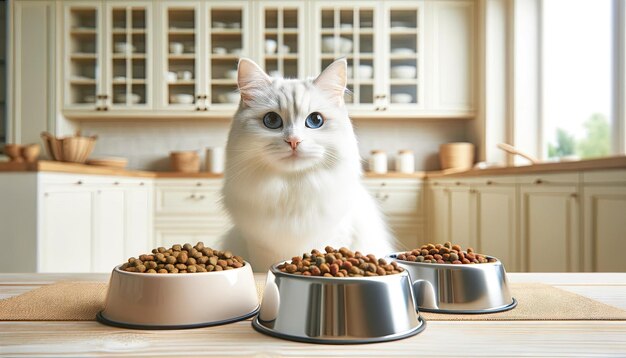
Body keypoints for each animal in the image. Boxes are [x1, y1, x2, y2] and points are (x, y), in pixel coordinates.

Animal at [219, 58, 394, 272]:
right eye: (272, 120)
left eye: (315, 120)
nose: (294, 141)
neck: (292, 188)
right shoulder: (257, 246)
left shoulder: (336, 235)